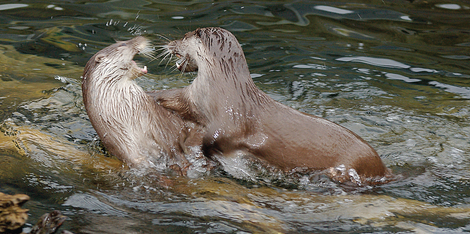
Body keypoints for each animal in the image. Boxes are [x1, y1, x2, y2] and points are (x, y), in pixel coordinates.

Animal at [82, 37, 202, 172]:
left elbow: (174, 144)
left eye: (121, 41)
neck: (132, 117)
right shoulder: (127, 151)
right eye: (123, 44)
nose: (140, 38)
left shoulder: (161, 123)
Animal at [149, 27, 392, 183]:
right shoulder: (192, 97)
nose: (169, 43)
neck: (222, 89)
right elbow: (172, 99)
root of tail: (383, 168)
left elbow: (217, 138)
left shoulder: (229, 120)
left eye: (183, 37)